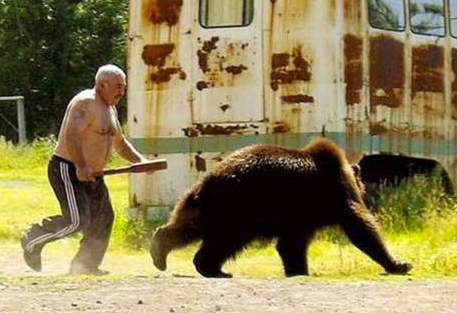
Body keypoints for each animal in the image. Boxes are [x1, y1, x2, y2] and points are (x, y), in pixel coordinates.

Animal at [149, 138, 410, 276]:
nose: (366, 187)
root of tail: (206, 180)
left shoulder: (301, 216)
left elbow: (291, 245)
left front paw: (298, 269)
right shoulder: (332, 194)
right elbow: (360, 226)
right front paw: (399, 263)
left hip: (209, 206)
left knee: (190, 226)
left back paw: (164, 252)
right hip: (238, 208)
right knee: (225, 241)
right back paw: (213, 268)